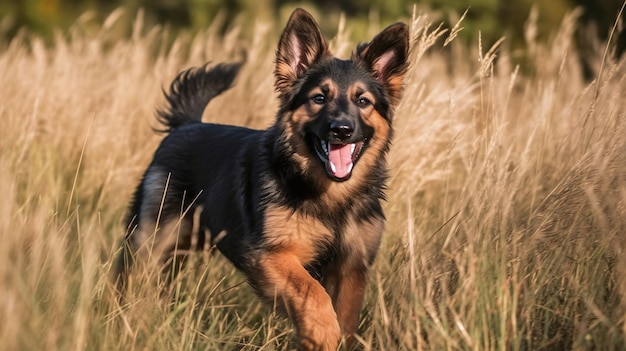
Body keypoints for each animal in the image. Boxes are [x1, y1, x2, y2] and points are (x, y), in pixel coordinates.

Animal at [114, 8, 408, 351]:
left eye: (363, 102)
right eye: (319, 98)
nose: (342, 130)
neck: (330, 197)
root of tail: (187, 124)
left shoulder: (351, 269)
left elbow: (345, 319)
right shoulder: (270, 255)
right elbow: (312, 292)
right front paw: (321, 333)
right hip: (151, 244)